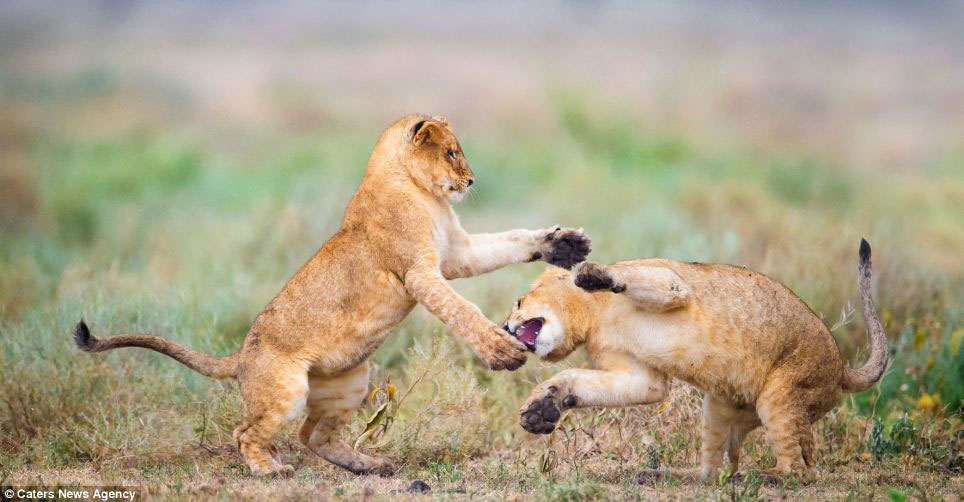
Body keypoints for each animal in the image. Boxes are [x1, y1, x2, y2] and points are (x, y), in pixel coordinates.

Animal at [72, 114, 591, 477]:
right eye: (451, 153)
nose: (471, 181)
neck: (420, 192)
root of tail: (241, 355)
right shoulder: (420, 273)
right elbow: (460, 308)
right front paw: (502, 351)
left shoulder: (456, 254)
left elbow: (510, 241)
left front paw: (564, 244)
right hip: (286, 389)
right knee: (247, 431)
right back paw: (270, 470)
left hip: (350, 382)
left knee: (314, 436)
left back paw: (370, 465)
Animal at [503, 239, 887, 483]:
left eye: (519, 301)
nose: (506, 327)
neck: (594, 319)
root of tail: (842, 369)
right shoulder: (640, 376)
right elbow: (587, 380)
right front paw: (542, 408)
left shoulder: (671, 284)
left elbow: (630, 277)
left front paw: (592, 274)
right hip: (719, 407)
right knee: (713, 471)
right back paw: (660, 474)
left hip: (781, 395)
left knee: (802, 470)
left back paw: (764, 476)